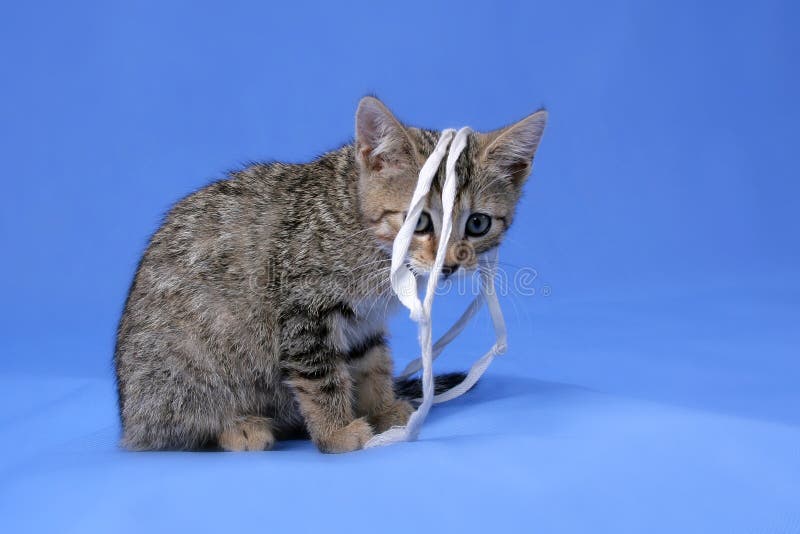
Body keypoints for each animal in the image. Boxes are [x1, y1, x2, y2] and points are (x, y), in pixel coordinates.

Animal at [115, 96, 548, 452]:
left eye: (477, 224)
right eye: (420, 221)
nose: (450, 264)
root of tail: (130, 419)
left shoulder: (364, 320)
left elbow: (371, 363)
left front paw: (382, 408)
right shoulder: (304, 310)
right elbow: (321, 375)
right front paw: (337, 432)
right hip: (183, 370)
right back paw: (238, 427)